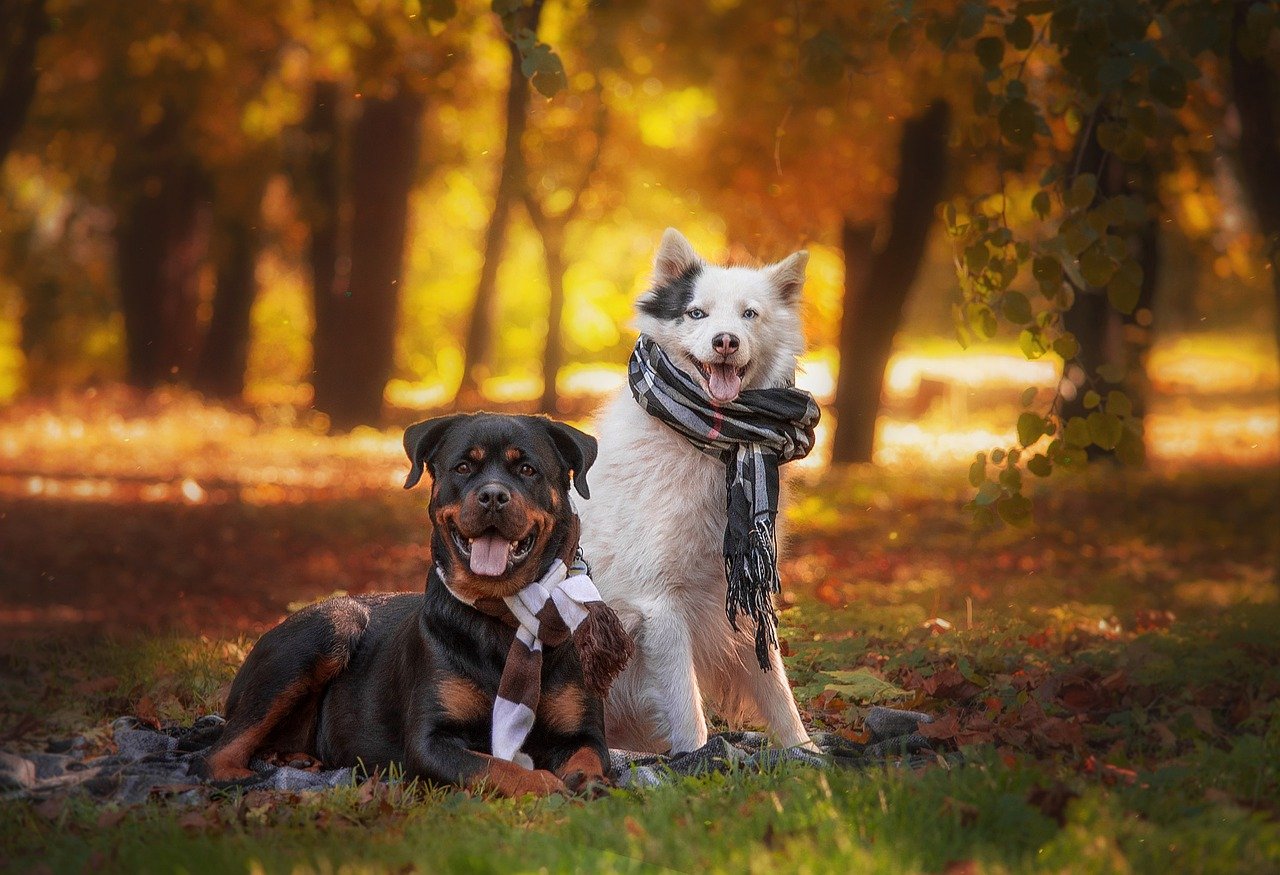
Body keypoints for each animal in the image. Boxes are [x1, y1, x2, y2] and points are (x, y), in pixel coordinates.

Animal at [202, 414, 632, 798]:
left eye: (527, 469)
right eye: (463, 467)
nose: (493, 495)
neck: (503, 613)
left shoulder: (583, 733)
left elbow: (589, 756)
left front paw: (589, 781)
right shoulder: (429, 743)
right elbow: (495, 766)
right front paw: (544, 783)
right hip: (328, 627)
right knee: (218, 751)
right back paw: (240, 778)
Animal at [578, 227, 814, 752]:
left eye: (750, 314)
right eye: (697, 314)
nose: (725, 342)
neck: (709, 444)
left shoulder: (740, 590)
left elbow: (779, 692)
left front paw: (808, 752)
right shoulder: (659, 602)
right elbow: (687, 709)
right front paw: (700, 758)